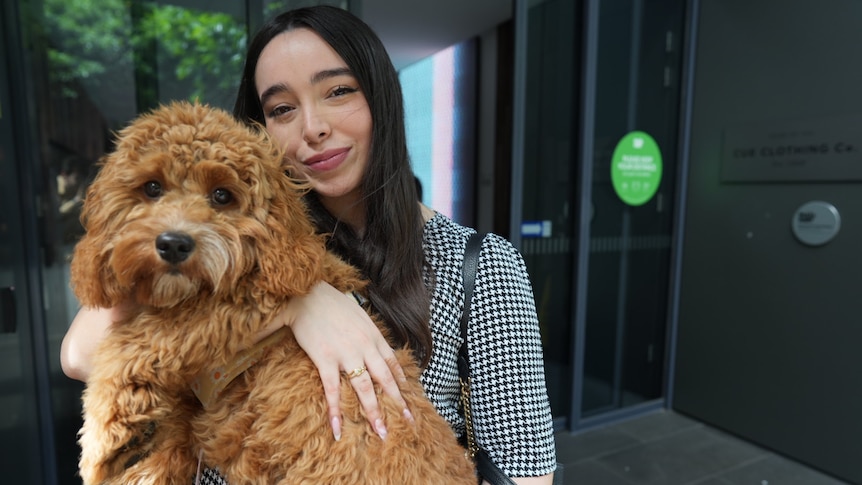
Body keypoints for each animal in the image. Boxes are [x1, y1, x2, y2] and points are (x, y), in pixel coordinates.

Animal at [71, 100, 480, 482]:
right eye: (152, 187)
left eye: (222, 195)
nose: (173, 244)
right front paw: (132, 447)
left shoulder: (239, 304)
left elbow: (134, 340)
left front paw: (101, 434)